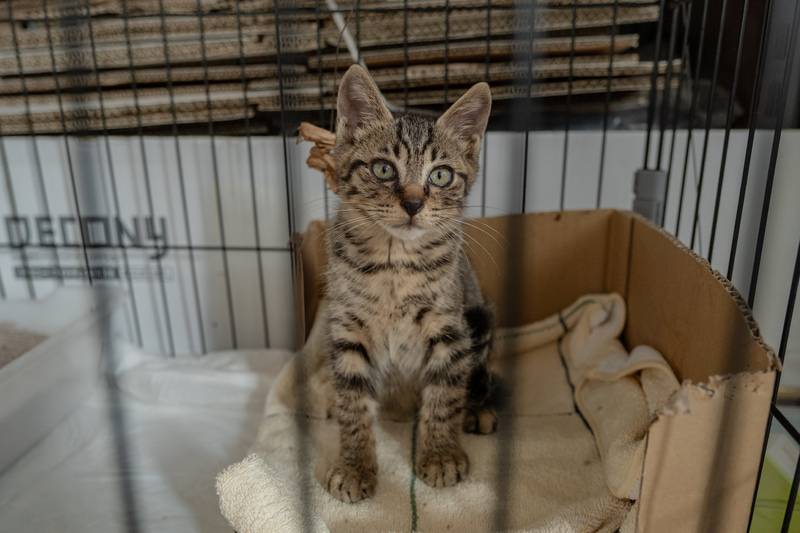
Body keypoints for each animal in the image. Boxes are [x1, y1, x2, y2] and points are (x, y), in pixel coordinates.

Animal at [323, 64, 498, 503]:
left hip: (480, 317)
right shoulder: (347, 331)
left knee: (477, 378)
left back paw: (477, 412)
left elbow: (445, 394)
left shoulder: (450, 330)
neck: (393, 264)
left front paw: (441, 455)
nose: (415, 203)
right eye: (384, 168)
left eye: (441, 175)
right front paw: (354, 466)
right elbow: (353, 403)